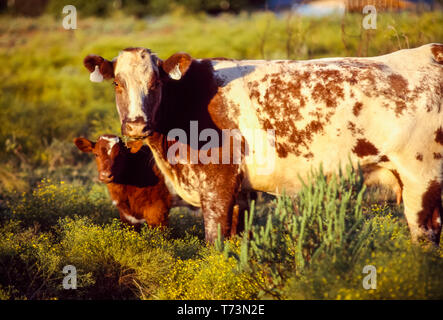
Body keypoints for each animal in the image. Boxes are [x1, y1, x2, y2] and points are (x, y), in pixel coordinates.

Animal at [83, 43, 443, 245]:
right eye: (117, 83)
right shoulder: (241, 192)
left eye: (156, 82)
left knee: (424, 235)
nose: (136, 124)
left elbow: (214, 242)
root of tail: (427, 52)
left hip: (421, 176)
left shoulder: (216, 184)